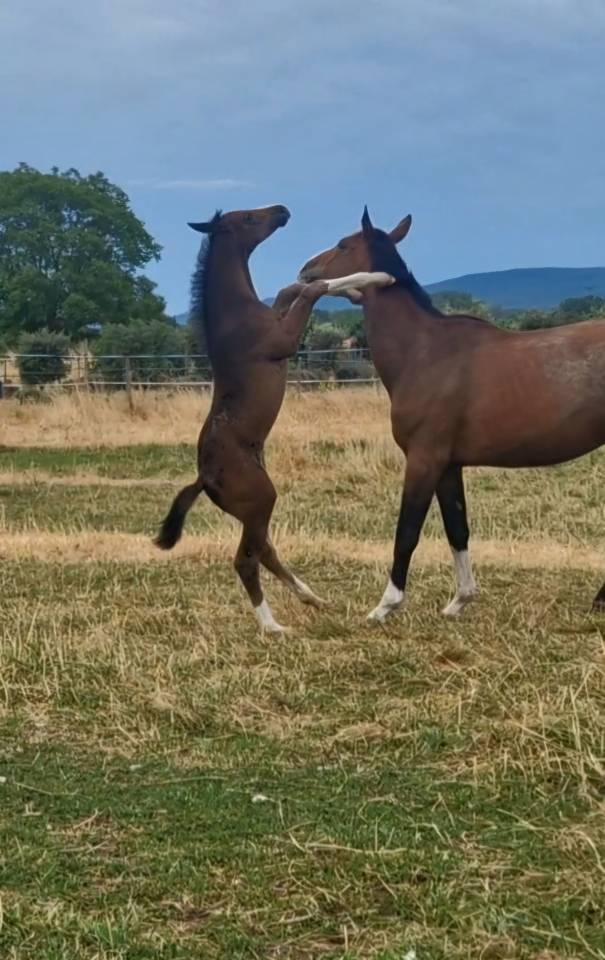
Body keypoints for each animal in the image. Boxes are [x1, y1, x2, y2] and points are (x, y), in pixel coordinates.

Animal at [155, 205, 392, 632]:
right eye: (249, 218)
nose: (281, 210)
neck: (237, 314)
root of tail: (204, 479)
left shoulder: (280, 312)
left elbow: (291, 288)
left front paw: (351, 290)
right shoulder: (283, 339)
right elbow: (312, 290)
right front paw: (374, 278)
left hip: (252, 512)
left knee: (264, 551)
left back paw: (312, 597)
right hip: (261, 499)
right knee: (245, 560)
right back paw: (273, 626)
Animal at [298, 207, 605, 620]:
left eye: (344, 244)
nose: (306, 271)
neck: (425, 351)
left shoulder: (424, 460)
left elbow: (407, 532)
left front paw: (385, 605)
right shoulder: (448, 465)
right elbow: (457, 529)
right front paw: (460, 600)